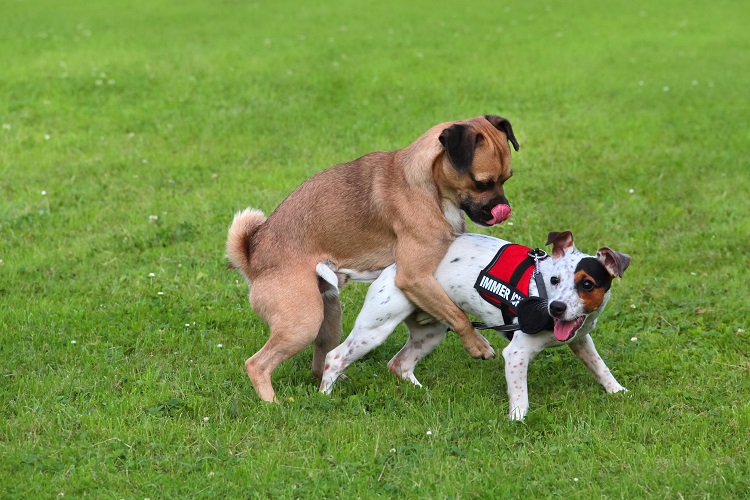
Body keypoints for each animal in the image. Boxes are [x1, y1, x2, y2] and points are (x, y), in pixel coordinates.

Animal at [229, 114, 520, 402]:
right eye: (482, 183)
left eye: (507, 179)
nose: (503, 209)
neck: (428, 185)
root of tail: (252, 257)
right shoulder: (413, 277)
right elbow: (458, 315)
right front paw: (476, 344)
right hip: (303, 323)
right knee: (258, 364)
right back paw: (274, 404)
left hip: (328, 315)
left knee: (321, 361)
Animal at [320, 232, 632, 420]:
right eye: (554, 280)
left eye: (587, 285)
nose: (556, 307)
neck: (540, 291)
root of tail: (394, 265)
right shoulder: (516, 355)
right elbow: (520, 396)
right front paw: (517, 420)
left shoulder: (580, 340)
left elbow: (600, 367)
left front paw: (617, 391)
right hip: (375, 330)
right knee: (334, 357)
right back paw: (324, 397)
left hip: (431, 333)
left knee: (400, 364)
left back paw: (420, 392)